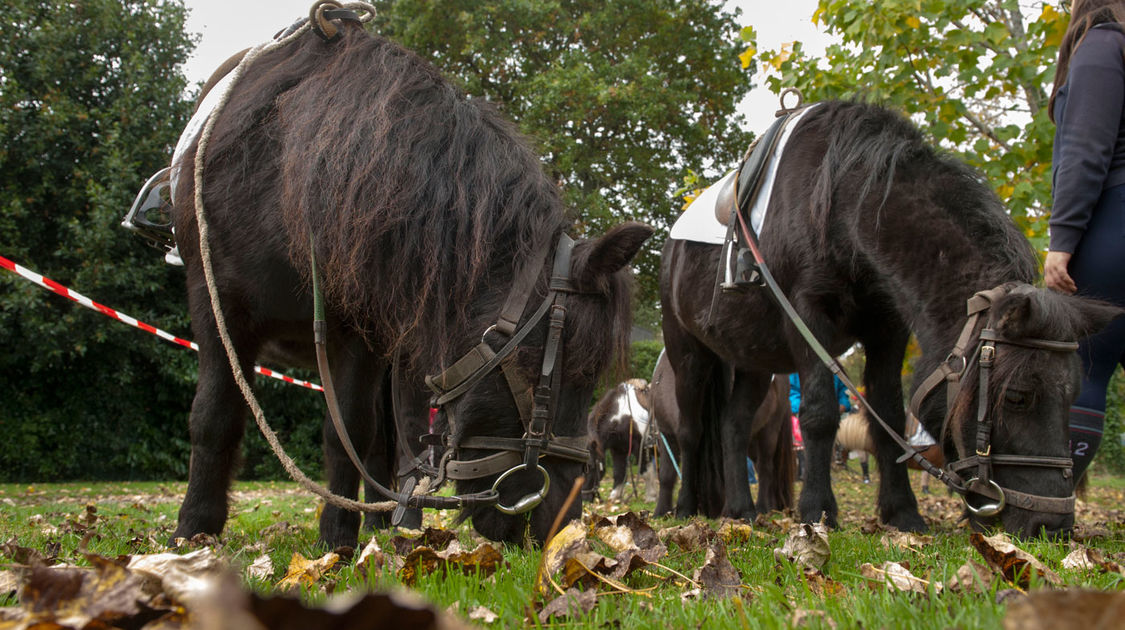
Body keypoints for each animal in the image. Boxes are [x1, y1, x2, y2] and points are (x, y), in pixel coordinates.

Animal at [166, 19, 652, 549]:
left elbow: (351, 435)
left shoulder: (361, 338)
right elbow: (213, 416)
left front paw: (339, 538)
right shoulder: (216, 307)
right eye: (555, 365)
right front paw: (194, 528)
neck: (287, 177)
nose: (561, 521)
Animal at [661, 102, 1120, 535]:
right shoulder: (808, 318)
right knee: (691, 432)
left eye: (1073, 395)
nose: (1053, 524)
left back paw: (740, 509)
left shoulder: (887, 329)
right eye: (1018, 397)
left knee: (733, 426)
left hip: (754, 362)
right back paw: (684, 508)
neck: (838, 201)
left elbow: (887, 418)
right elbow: (820, 415)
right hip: (689, 354)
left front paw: (902, 512)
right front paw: (818, 509)